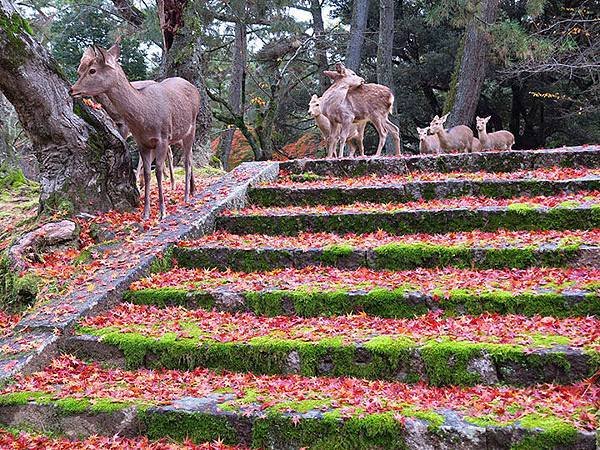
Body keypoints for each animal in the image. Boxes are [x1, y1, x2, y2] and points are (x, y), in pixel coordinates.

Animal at [74, 51, 176, 191]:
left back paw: (170, 182)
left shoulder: (125, 125)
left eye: (91, 71)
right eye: (79, 71)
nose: (75, 91)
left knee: (168, 150)